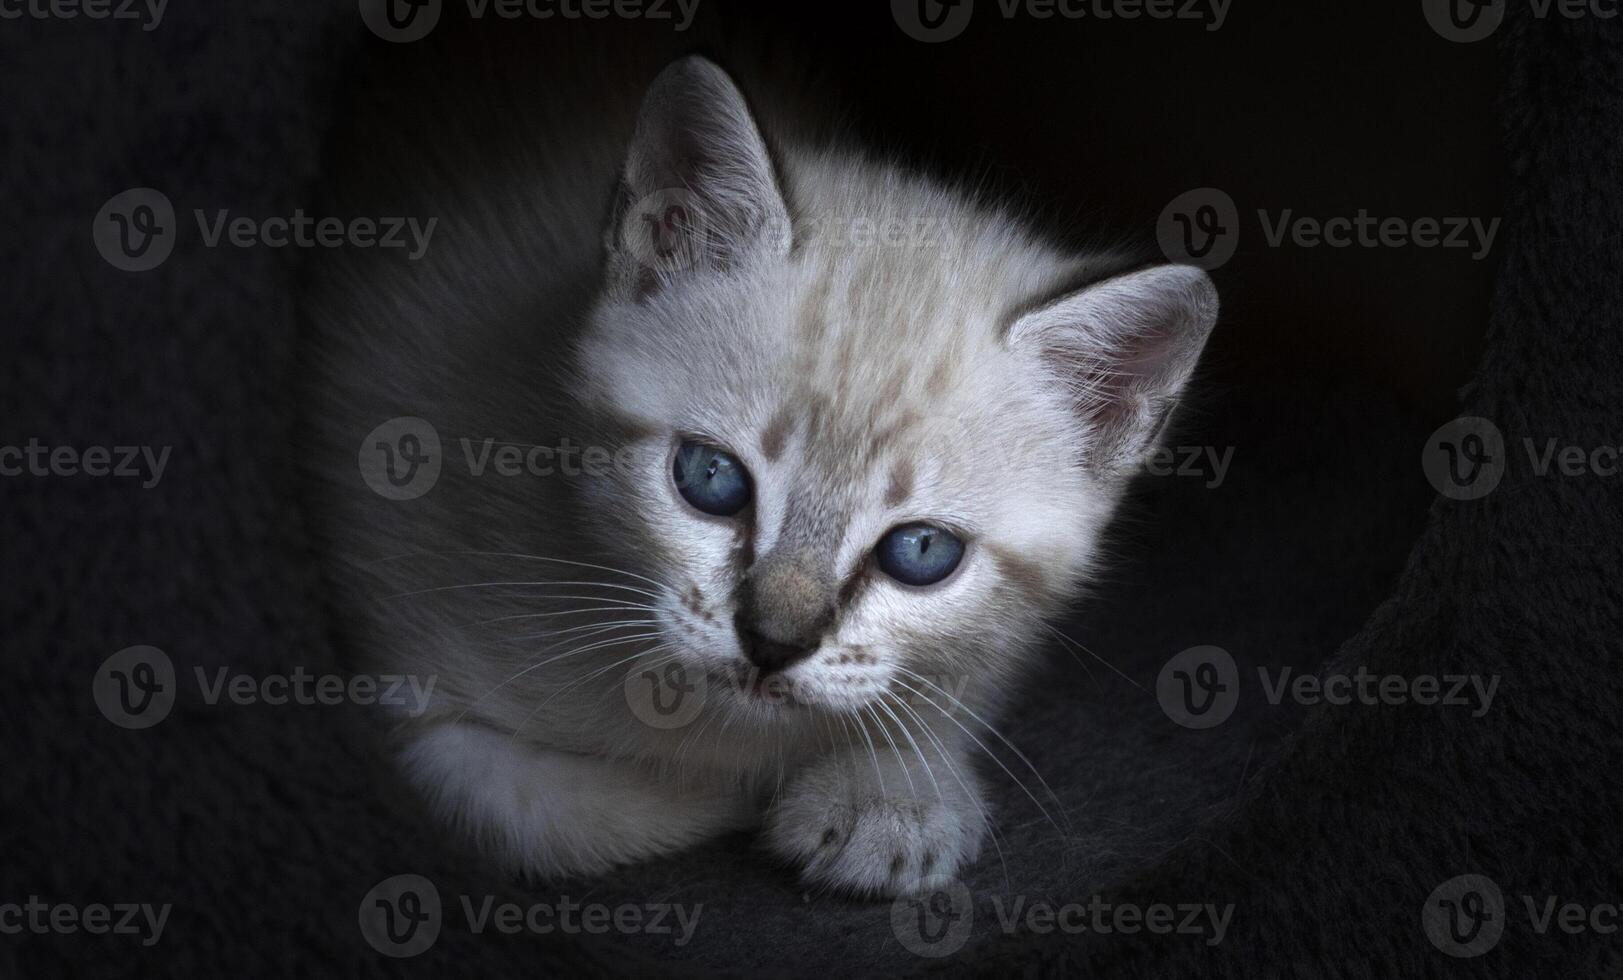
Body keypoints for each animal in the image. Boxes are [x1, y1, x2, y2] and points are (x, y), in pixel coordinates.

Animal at [306, 51, 1220, 895]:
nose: (772, 645)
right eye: (711, 479)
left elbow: (949, 689)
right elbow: (553, 817)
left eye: (921, 554)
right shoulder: (407, 702)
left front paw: (894, 790)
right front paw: (761, 792)